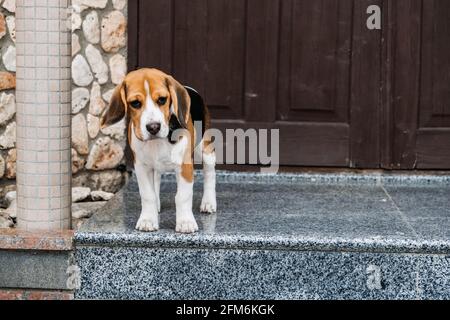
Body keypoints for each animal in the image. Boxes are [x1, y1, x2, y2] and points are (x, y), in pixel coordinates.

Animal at [101, 68, 217, 232]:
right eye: (135, 103)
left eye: (162, 100)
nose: (153, 127)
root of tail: (189, 88)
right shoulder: (142, 167)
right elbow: (147, 194)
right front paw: (148, 220)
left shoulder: (184, 166)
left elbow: (183, 196)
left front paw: (185, 222)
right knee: (156, 179)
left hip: (205, 149)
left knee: (209, 173)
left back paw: (208, 202)